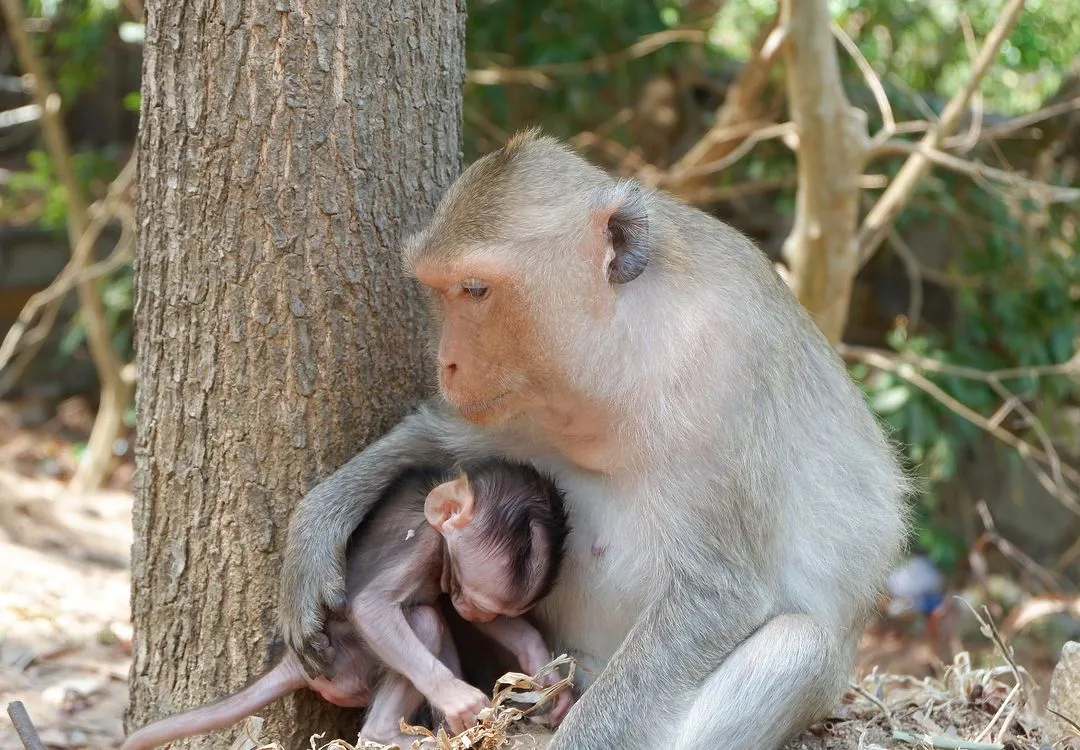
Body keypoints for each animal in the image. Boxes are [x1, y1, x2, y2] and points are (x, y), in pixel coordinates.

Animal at [121, 458, 574, 750]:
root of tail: (293, 660)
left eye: (484, 607)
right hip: (345, 665)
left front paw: (546, 675)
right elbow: (371, 607)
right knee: (425, 621)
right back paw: (390, 736)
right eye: (469, 594)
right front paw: (460, 699)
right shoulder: (424, 545)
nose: (470, 609)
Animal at [280, 130, 911, 750]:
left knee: (799, 647)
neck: (626, 355)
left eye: (476, 290)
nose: (447, 363)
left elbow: (716, 594)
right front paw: (316, 529)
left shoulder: (724, 372)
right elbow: (441, 437)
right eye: (441, 291)